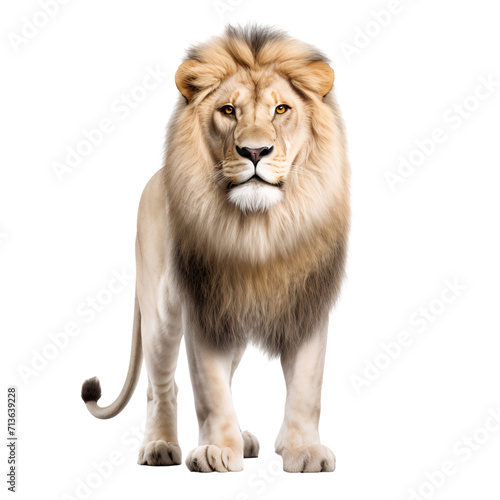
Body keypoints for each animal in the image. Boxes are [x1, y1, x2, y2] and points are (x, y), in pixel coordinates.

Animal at [80, 26, 350, 472]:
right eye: (228, 110)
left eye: (281, 109)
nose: (255, 151)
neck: (259, 228)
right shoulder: (204, 305)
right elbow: (209, 388)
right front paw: (218, 451)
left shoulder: (306, 302)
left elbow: (307, 388)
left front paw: (304, 451)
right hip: (160, 314)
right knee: (161, 386)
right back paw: (159, 446)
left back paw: (244, 438)